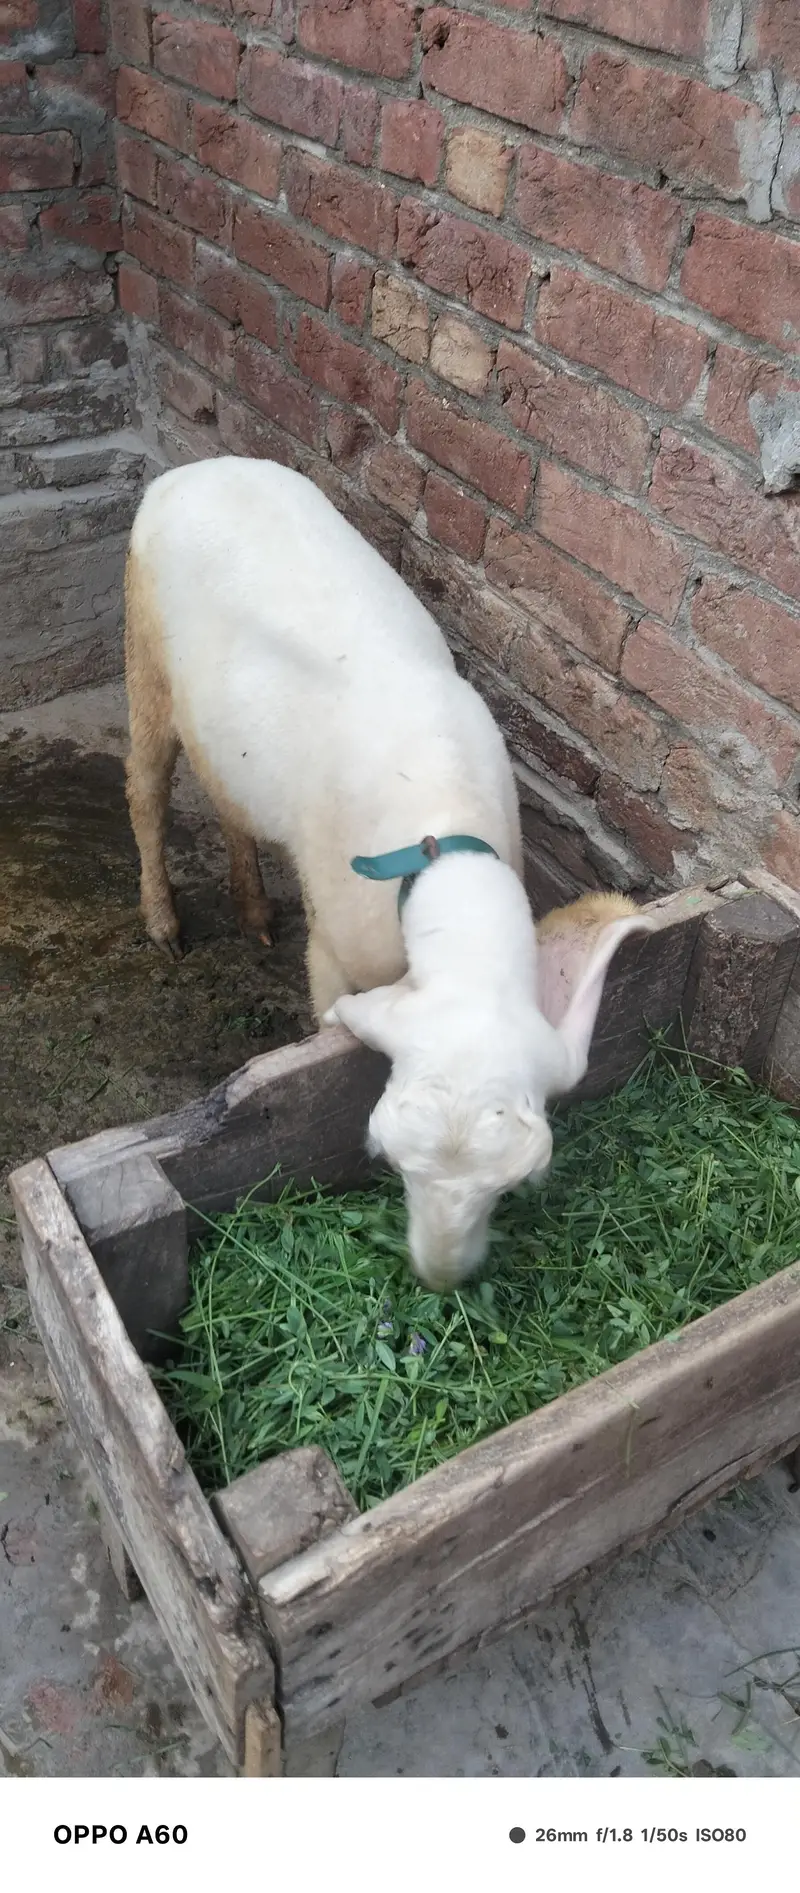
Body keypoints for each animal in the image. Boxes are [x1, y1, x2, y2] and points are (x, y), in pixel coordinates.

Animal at [124, 456, 652, 1289]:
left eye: (513, 1184)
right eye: (390, 1159)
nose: (438, 1278)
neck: (438, 843)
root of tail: (191, 468)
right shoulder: (339, 940)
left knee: (228, 803)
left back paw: (255, 915)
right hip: (142, 649)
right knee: (144, 789)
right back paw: (164, 924)